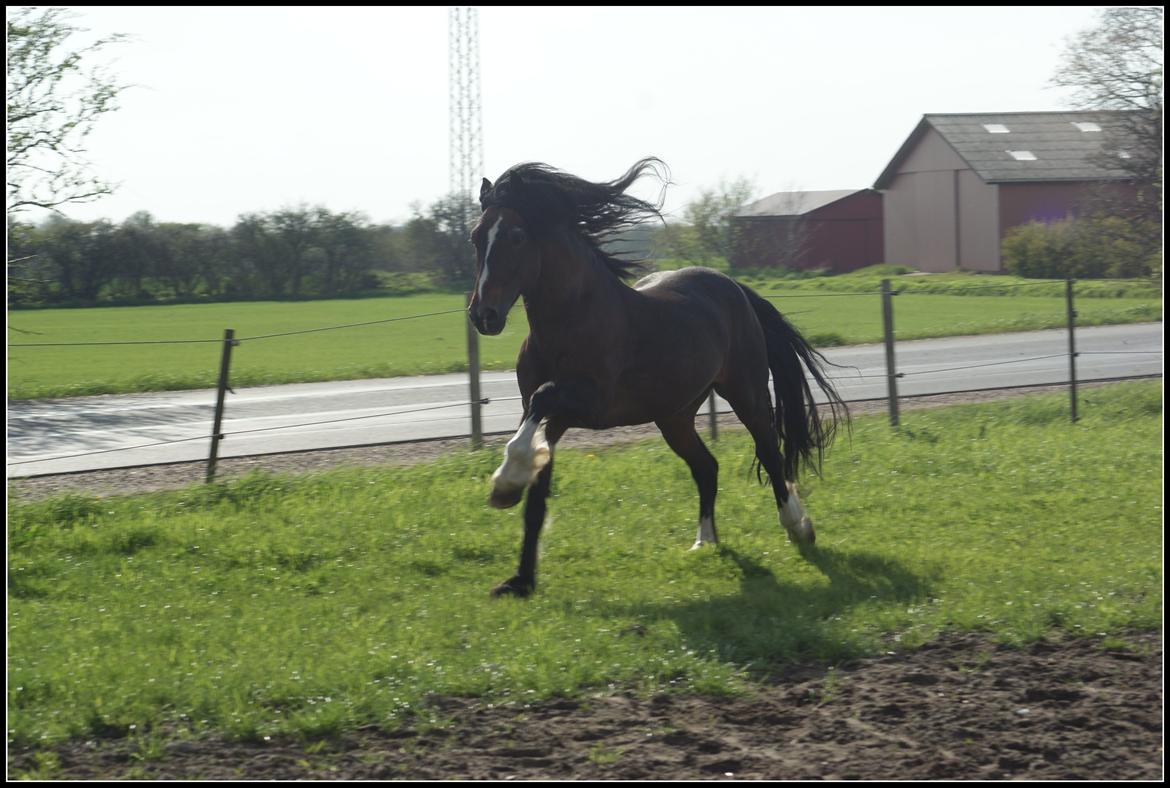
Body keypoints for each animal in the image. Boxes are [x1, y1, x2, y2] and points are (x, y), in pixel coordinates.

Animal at [470, 155, 847, 596]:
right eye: (476, 238)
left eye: (516, 236)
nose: (483, 315)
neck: (570, 321)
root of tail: (734, 287)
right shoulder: (553, 419)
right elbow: (536, 494)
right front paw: (520, 581)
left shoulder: (588, 401)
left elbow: (541, 401)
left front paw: (504, 484)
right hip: (674, 417)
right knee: (707, 467)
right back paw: (704, 542)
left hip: (747, 394)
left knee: (770, 454)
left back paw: (798, 527)